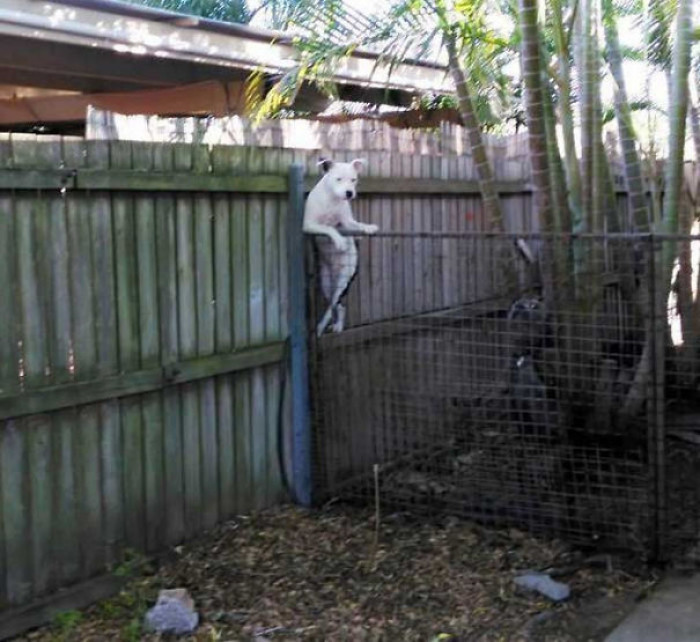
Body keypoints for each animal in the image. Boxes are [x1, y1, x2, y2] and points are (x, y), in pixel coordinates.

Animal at [300, 158, 378, 336]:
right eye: (338, 179)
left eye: (353, 180)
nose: (349, 193)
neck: (332, 200)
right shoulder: (309, 225)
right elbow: (329, 228)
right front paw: (339, 240)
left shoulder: (346, 223)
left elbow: (355, 225)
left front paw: (368, 227)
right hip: (326, 283)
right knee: (334, 305)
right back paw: (324, 327)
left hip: (343, 279)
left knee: (337, 306)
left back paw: (333, 326)